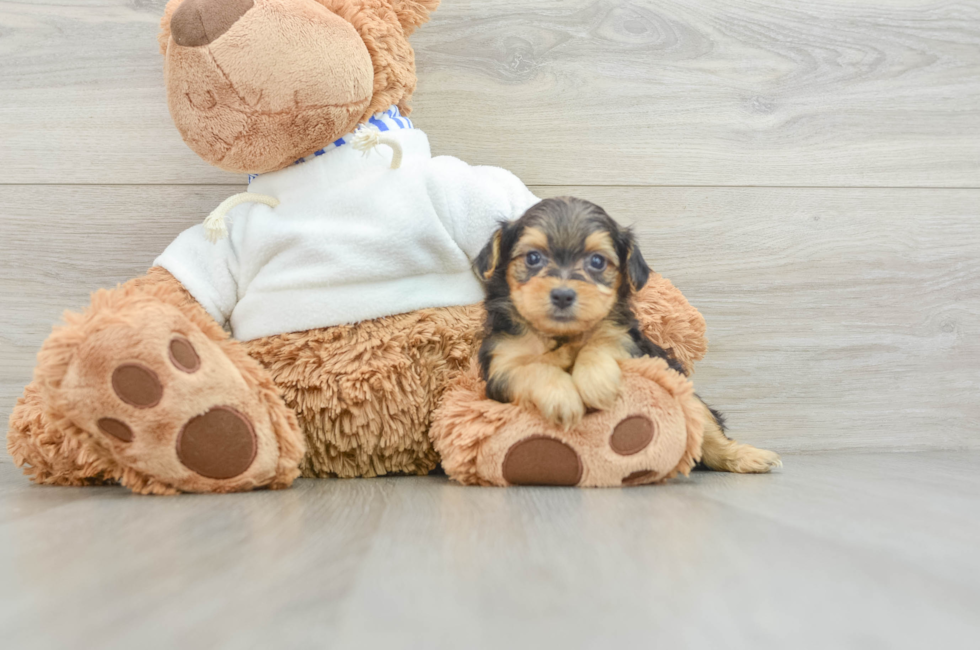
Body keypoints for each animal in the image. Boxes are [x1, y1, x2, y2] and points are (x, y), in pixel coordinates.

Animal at [474, 195, 780, 474]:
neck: (562, 335)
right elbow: (533, 369)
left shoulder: (628, 341)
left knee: (709, 437)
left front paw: (595, 382)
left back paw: (747, 457)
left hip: (688, 394)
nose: (562, 295)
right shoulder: (502, 365)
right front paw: (562, 397)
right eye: (533, 258)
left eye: (597, 261)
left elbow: (600, 344)